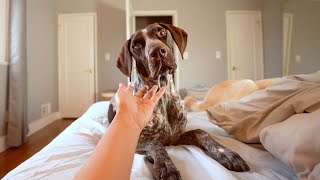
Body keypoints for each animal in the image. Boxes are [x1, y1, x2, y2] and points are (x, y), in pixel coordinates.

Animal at [107, 23, 250, 179]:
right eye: (137, 45)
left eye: (162, 32)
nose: (157, 51)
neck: (163, 95)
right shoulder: (136, 141)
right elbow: (154, 144)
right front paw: (166, 165)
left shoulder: (176, 138)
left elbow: (201, 132)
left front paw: (225, 153)